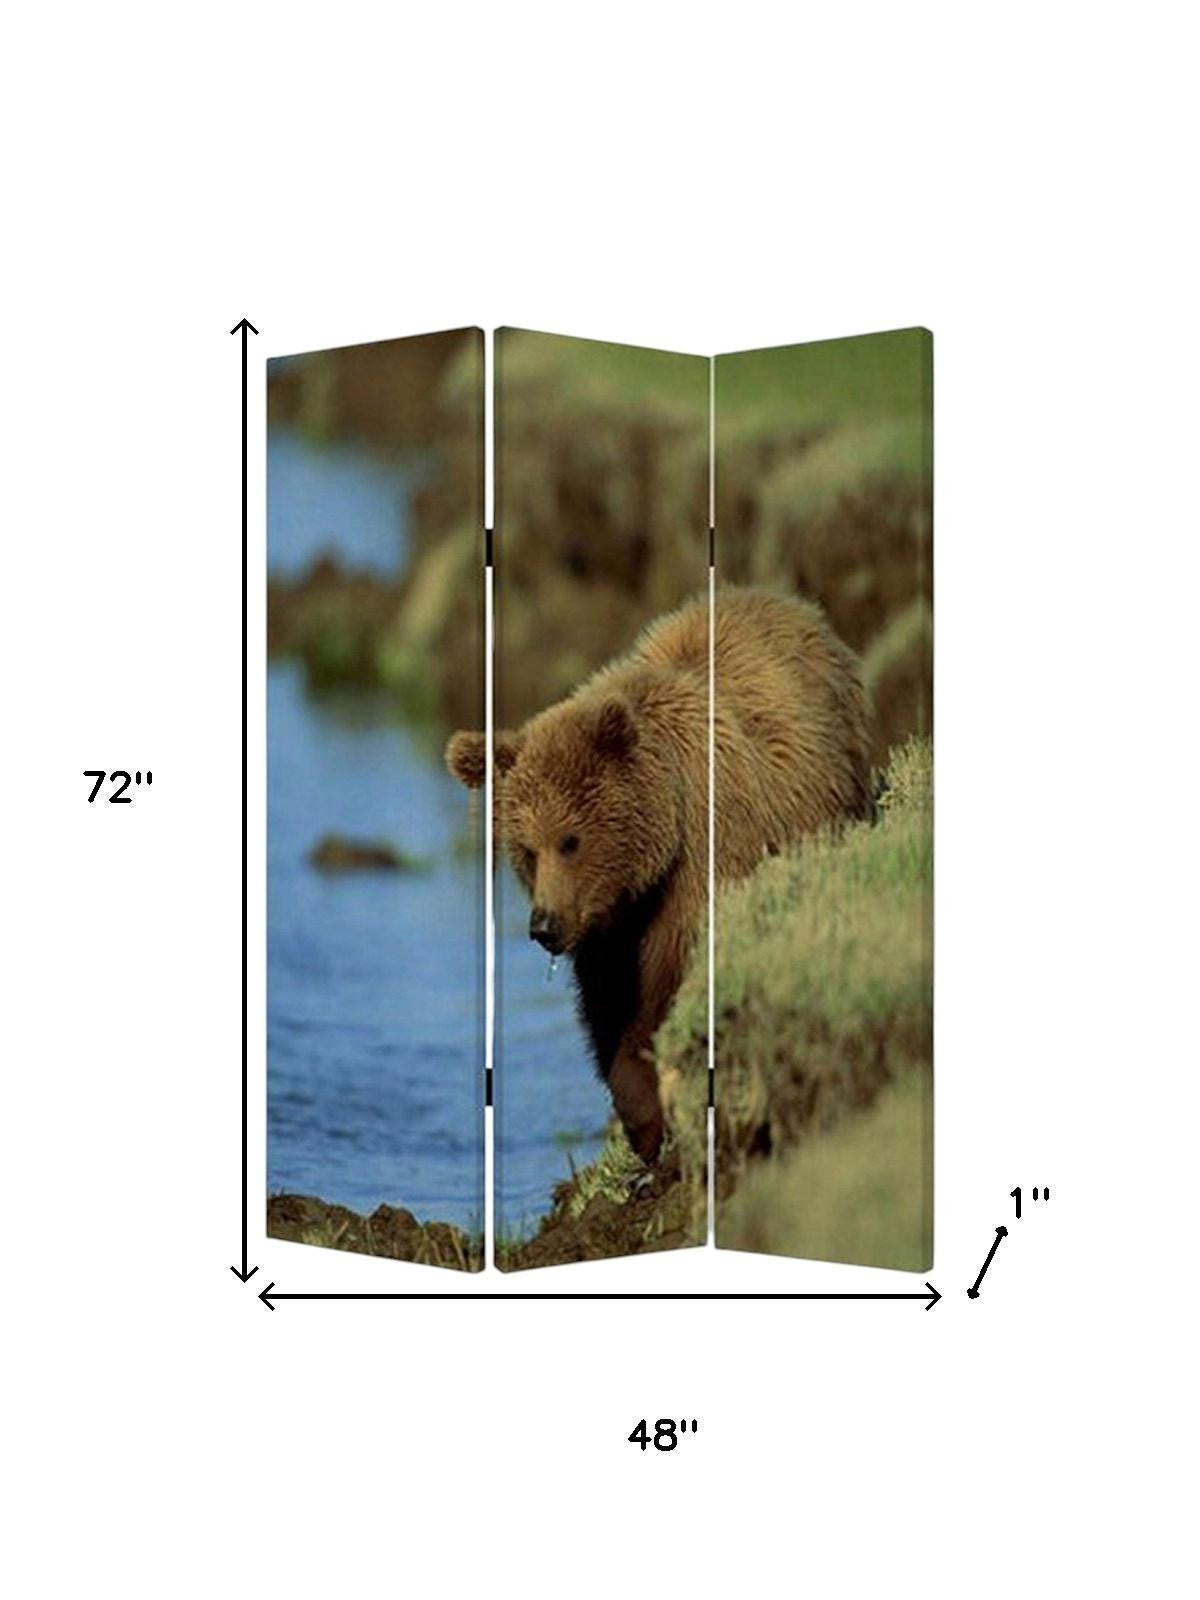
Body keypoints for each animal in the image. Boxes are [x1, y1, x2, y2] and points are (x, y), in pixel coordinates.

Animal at [446, 586, 872, 1164]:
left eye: (570, 840)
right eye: (527, 850)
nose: (544, 926)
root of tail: (792, 604)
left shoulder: (699, 869)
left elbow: (668, 987)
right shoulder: (607, 931)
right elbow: (610, 1009)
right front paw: (643, 1121)